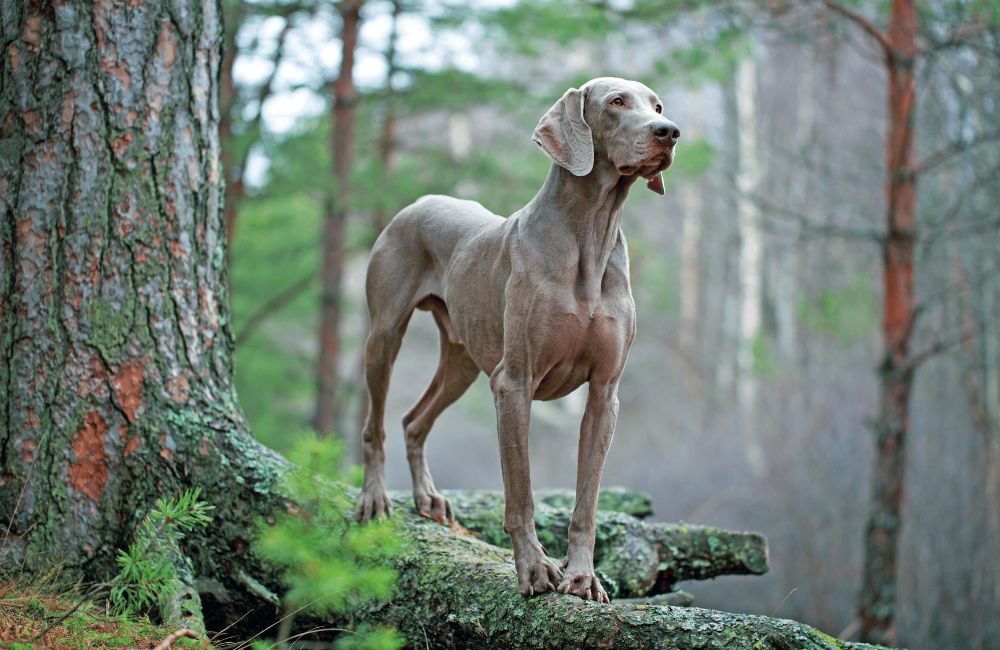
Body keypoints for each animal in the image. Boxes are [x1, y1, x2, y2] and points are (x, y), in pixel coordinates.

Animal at [354, 77, 680, 604]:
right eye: (616, 102)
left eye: (657, 105)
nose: (668, 132)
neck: (590, 235)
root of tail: (419, 202)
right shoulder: (514, 383)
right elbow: (520, 493)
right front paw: (534, 569)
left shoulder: (604, 394)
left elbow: (586, 501)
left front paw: (582, 576)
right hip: (384, 335)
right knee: (376, 423)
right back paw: (375, 498)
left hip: (462, 361)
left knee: (413, 420)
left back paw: (428, 498)